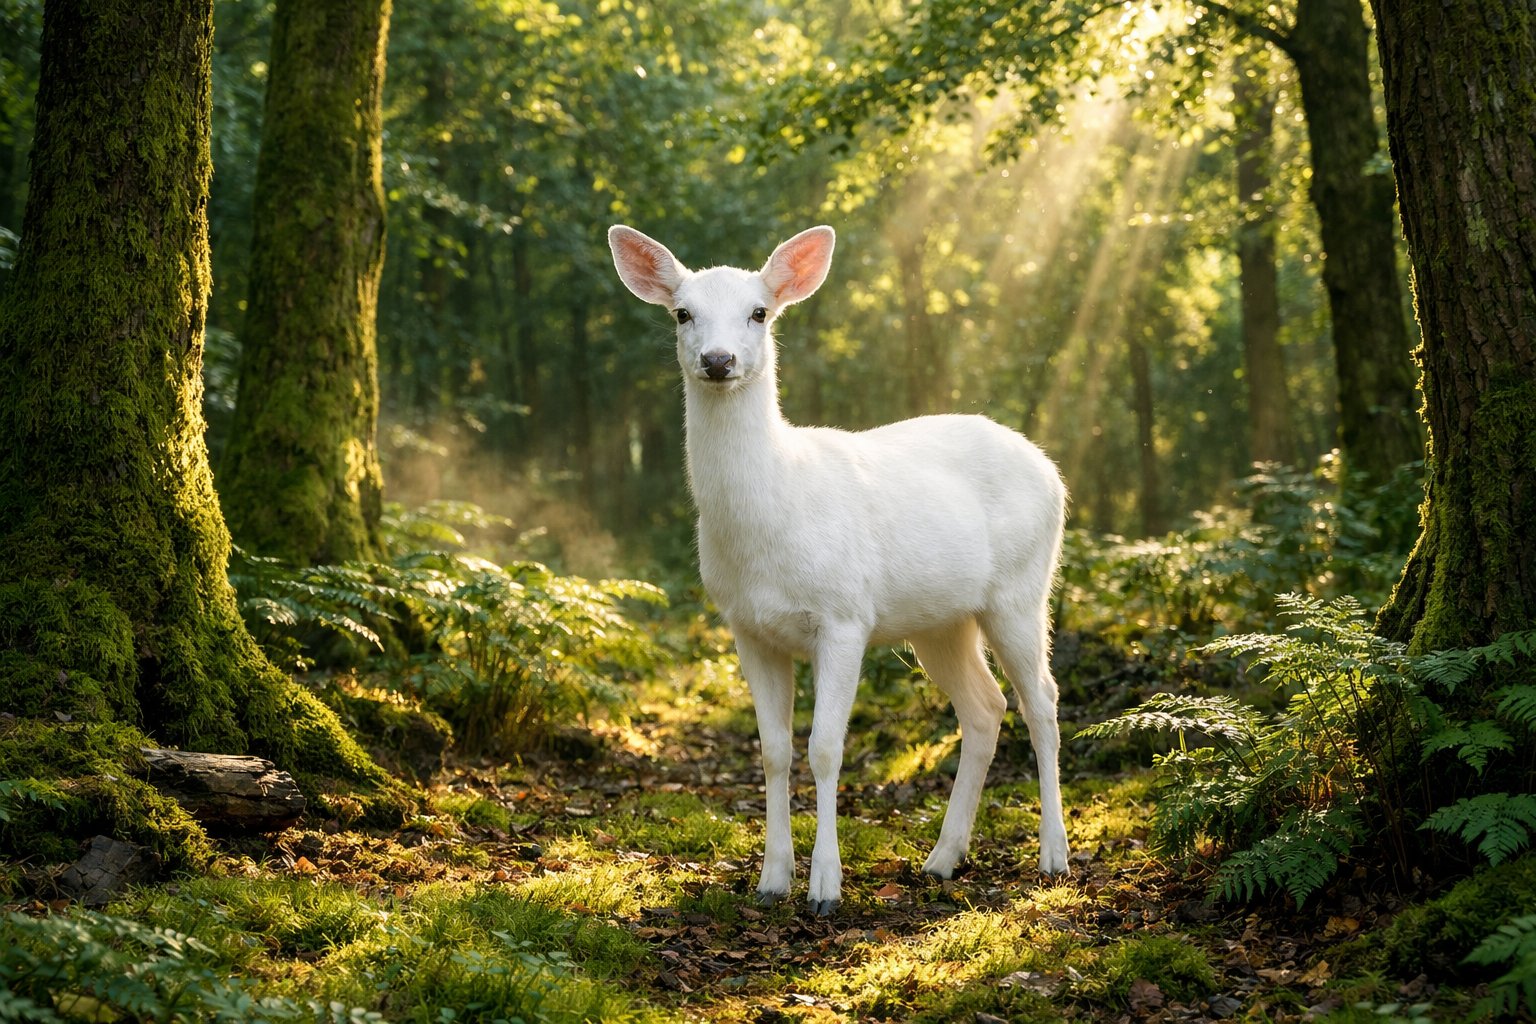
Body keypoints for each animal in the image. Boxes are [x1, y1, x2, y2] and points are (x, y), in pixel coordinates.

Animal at [607, 223, 1070, 915]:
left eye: (760, 312)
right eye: (682, 312)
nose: (717, 360)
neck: (773, 512)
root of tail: (1051, 470)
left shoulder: (844, 613)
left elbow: (825, 747)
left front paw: (826, 888)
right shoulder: (747, 626)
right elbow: (773, 751)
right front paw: (772, 880)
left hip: (1021, 588)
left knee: (1041, 701)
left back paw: (1054, 856)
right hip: (939, 621)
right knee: (985, 706)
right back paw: (942, 859)